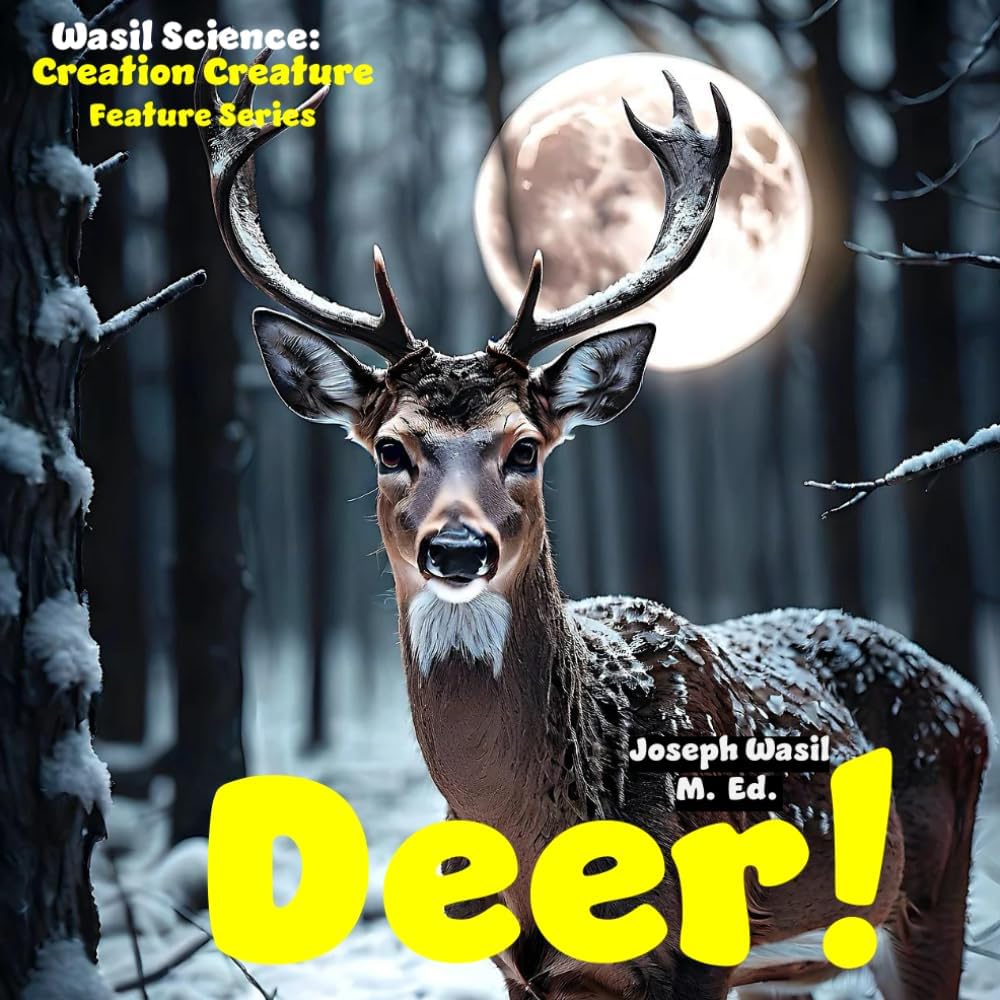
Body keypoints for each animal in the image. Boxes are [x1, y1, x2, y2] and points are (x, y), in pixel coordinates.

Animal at [196, 51, 992, 1000]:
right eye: (390, 447)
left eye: (526, 447)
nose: (456, 546)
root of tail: (968, 697)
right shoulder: (519, 967)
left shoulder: (699, 951)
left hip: (931, 892)